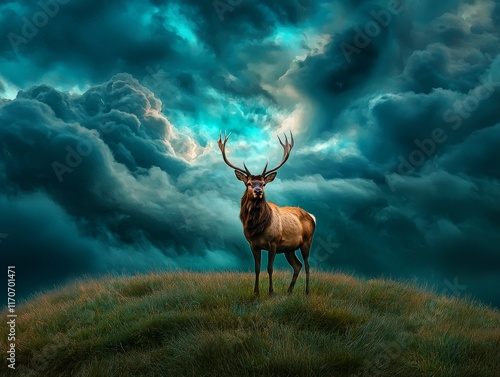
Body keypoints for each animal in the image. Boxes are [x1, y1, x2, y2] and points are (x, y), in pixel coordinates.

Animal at [217, 131, 314, 296]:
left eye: (263, 184)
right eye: (249, 183)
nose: (258, 191)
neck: (257, 228)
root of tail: (312, 216)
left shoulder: (273, 242)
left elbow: (270, 268)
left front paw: (271, 292)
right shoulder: (253, 244)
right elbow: (257, 268)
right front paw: (256, 293)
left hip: (307, 241)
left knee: (307, 265)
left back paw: (307, 292)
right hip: (289, 248)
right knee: (298, 265)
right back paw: (289, 291)